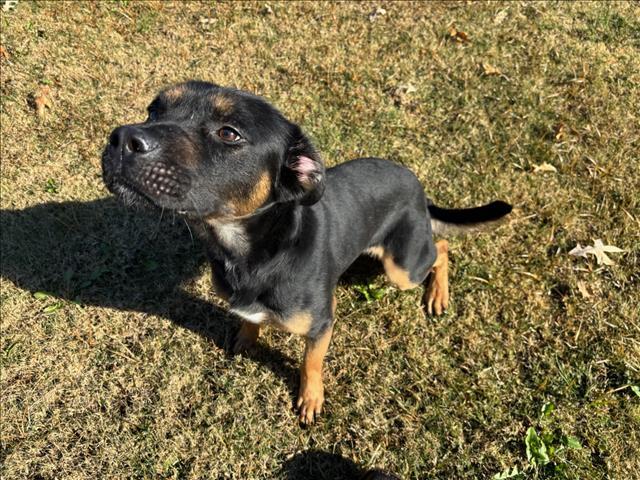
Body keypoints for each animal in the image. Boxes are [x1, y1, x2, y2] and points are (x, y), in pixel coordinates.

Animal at [102, 81, 512, 424]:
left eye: (229, 133)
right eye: (154, 110)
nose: (121, 140)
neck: (254, 252)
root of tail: (419, 190)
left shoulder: (321, 325)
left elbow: (310, 363)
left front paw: (310, 398)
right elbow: (249, 321)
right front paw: (245, 339)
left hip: (403, 267)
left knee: (441, 248)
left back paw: (438, 294)